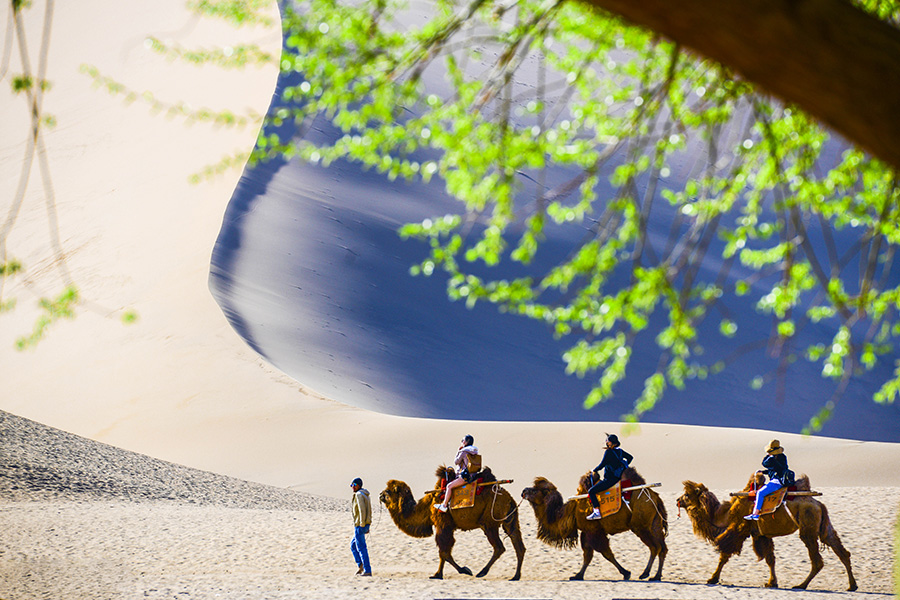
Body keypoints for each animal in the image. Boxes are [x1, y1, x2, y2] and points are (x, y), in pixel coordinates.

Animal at [380, 466, 528, 580]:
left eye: (389, 491)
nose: (380, 494)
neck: (427, 507)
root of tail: (509, 499)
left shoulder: (443, 524)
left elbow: (444, 551)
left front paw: (456, 571)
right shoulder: (446, 526)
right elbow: (444, 551)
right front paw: (443, 573)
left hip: (489, 522)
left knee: (499, 547)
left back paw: (482, 572)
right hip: (510, 520)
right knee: (518, 545)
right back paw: (515, 576)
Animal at [520, 468, 668, 580]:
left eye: (534, 490)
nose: (523, 491)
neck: (572, 511)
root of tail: (655, 496)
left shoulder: (593, 530)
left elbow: (605, 553)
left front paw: (626, 573)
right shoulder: (586, 531)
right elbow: (587, 556)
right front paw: (577, 576)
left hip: (640, 525)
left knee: (655, 547)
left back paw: (646, 574)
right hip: (655, 522)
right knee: (662, 547)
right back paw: (655, 576)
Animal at [676, 474, 856, 592]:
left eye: (687, 495)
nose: (677, 500)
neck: (725, 515)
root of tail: (819, 504)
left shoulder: (739, 530)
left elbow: (724, 555)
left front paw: (712, 578)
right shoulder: (761, 535)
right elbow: (770, 559)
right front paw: (772, 582)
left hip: (808, 528)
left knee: (817, 560)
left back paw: (801, 585)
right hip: (823, 527)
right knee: (841, 551)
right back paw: (852, 585)